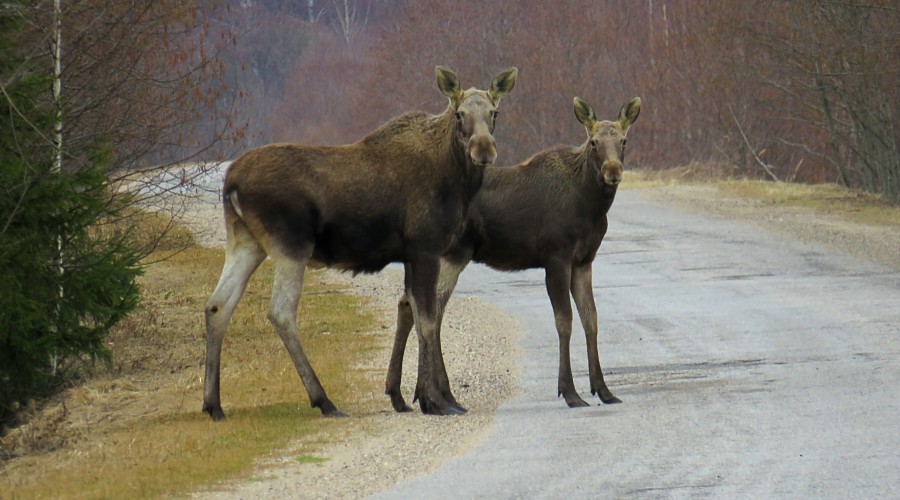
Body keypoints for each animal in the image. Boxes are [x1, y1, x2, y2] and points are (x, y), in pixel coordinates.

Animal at [200, 65, 516, 418]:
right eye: (460, 114)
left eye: (494, 112)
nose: (484, 150)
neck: (458, 183)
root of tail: (231, 183)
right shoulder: (426, 248)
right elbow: (428, 319)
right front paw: (433, 399)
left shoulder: (412, 255)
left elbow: (414, 312)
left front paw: (411, 396)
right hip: (290, 245)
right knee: (281, 312)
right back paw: (323, 400)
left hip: (245, 242)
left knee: (218, 305)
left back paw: (214, 404)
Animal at [386, 95, 640, 412]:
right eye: (593, 142)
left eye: (624, 140)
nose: (613, 171)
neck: (591, 206)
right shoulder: (556, 256)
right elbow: (564, 321)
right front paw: (569, 392)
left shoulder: (584, 260)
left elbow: (590, 319)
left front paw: (603, 390)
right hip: (450, 255)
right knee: (426, 310)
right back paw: (434, 395)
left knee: (411, 306)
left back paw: (406, 394)